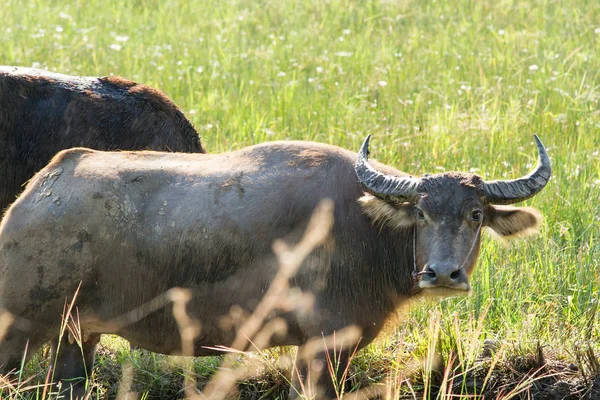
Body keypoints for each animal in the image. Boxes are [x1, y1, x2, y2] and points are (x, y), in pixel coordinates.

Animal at [0, 135, 552, 396]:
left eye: (475, 214)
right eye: (421, 213)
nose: (441, 274)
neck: (360, 226)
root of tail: (33, 198)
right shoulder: (325, 348)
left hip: (77, 337)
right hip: (20, 331)